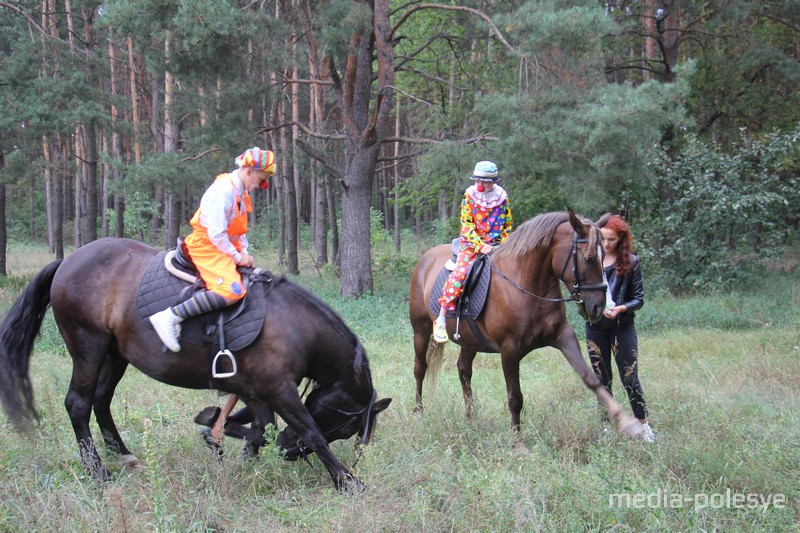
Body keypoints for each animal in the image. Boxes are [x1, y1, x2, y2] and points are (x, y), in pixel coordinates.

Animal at [0, 237, 390, 490]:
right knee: (78, 404)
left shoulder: (255, 389)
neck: (295, 325)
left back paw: (122, 454)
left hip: (115, 356)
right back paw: (97, 471)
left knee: (100, 401)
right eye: (345, 427)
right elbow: (308, 430)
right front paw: (346, 480)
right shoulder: (277, 389)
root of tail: (66, 262)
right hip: (89, 349)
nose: (290, 452)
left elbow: (257, 427)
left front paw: (230, 445)